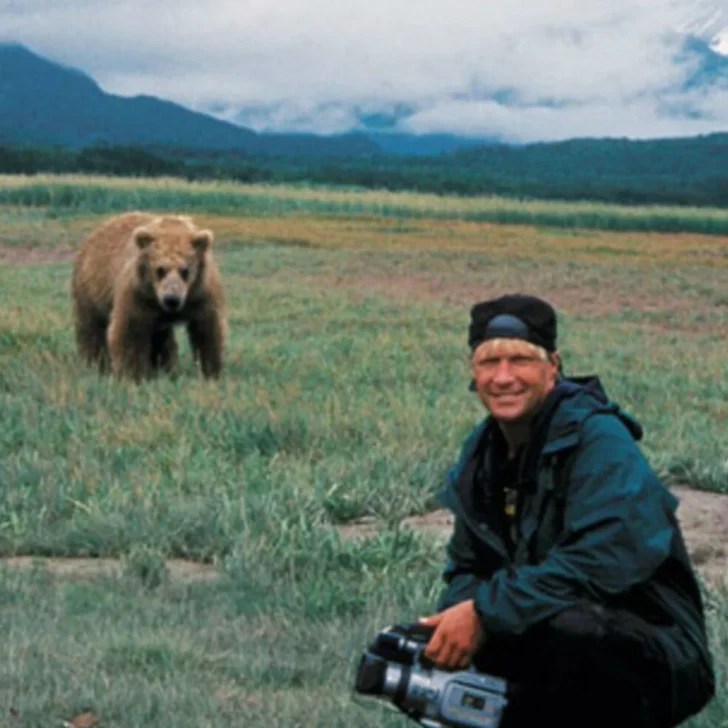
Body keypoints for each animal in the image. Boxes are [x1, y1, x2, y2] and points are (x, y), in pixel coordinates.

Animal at [71, 211, 227, 382]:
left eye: (185, 270)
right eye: (160, 270)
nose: (172, 299)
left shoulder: (202, 294)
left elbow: (207, 330)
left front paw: (211, 372)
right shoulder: (138, 294)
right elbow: (130, 332)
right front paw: (132, 375)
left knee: (161, 339)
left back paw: (164, 367)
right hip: (91, 289)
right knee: (91, 327)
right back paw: (95, 362)